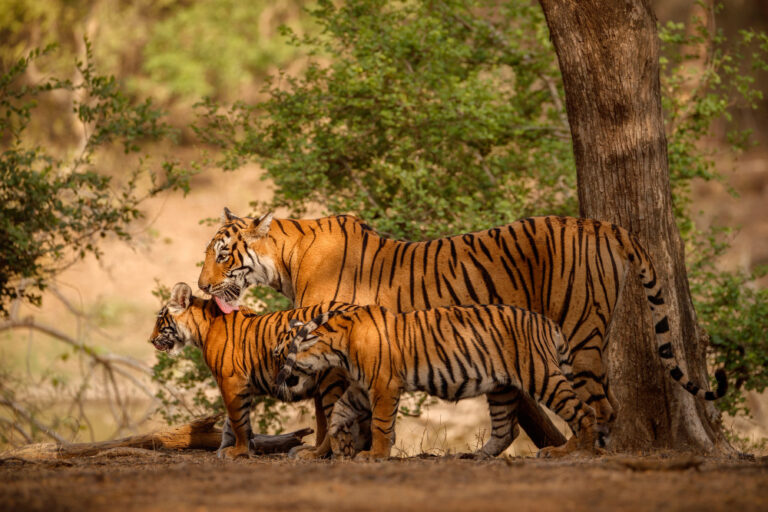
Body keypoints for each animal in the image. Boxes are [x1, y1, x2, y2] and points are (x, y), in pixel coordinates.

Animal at [149, 284, 360, 460]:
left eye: (160, 319)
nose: (150, 340)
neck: (202, 328)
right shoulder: (241, 385)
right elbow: (232, 422)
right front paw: (232, 448)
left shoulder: (230, 380)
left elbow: (238, 420)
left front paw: (238, 451)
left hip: (331, 381)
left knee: (335, 423)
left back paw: (315, 454)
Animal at [274, 304, 600, 460]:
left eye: (279, 355)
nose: (278, 383)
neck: (337, 348)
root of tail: (548, 322)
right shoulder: (360, 388)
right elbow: (338, 415)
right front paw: (330, 448)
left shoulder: (383, 386)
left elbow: (380, 425)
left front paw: (374, 455)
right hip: (502, 389)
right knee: (506, 429)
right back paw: (475, 455)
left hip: (541, 374)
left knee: (584, 411)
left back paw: (575, 451)